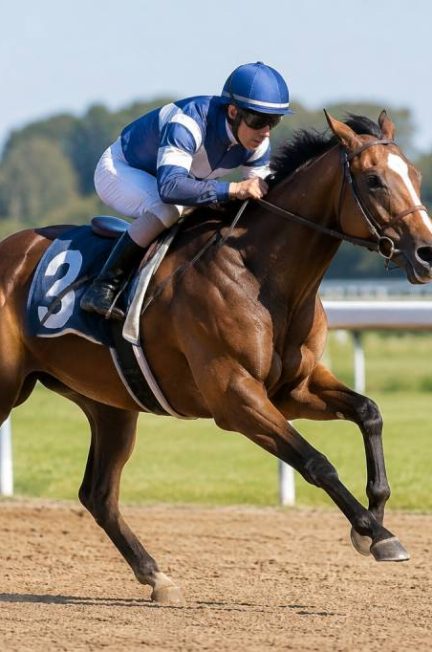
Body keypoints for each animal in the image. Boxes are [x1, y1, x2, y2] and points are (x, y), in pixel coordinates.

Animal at [2, 111, 432, 604]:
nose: (426, 252)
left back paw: (156, 576)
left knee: (99, 495)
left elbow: (369, 411)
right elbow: (316, 462)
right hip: (9, 388)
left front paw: (373, 518)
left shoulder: (292, 389)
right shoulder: (235, 396)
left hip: (109, 405)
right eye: (374, 180)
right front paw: (376, 534)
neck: (261, 274)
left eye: (415, 175)